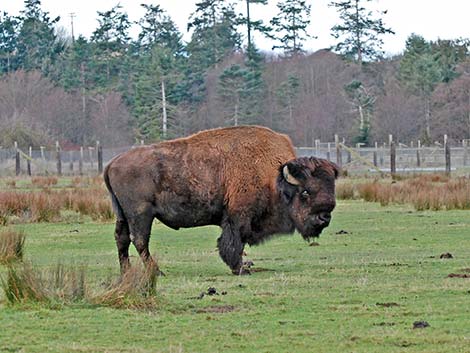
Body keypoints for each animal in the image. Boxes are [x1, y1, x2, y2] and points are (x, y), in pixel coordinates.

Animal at [103, 125, 338, 274]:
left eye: (331, 189)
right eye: (305, 193)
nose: (324, 218)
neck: (274, 176)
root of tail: (112, 163)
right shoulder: (238, 216)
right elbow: (234, 241)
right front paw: (240, 268)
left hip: (122, 214)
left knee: (122, 238)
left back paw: (126, 272)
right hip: (141, 214)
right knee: (139, 240)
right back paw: (157, 272)